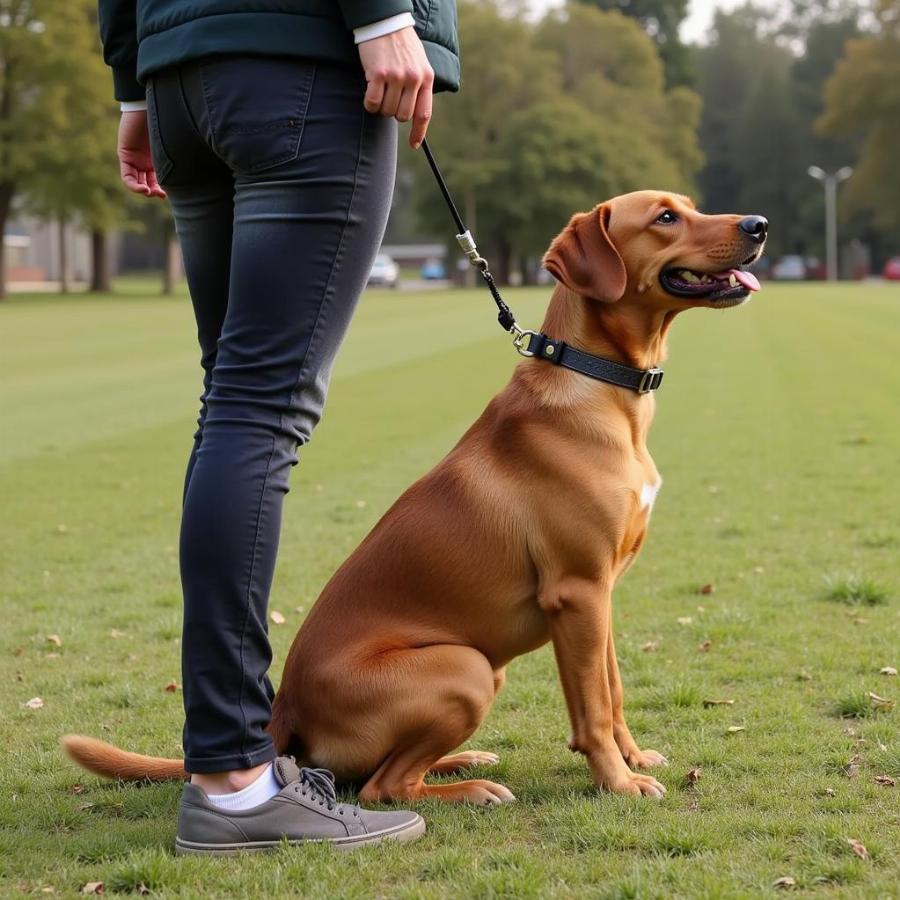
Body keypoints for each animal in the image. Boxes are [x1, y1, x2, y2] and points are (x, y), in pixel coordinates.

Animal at [63, 188, 768, 800]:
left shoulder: (602, 596)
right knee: (384, 787)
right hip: (468, 667)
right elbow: (592, 707)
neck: (599, 387)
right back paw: (471, 790)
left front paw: (632, 758)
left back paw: (464, 761)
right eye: (665, 217)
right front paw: (617, 782)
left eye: (689, 206)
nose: (758, 224)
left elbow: (613, 691)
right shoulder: (578, 592)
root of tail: (284, 708)